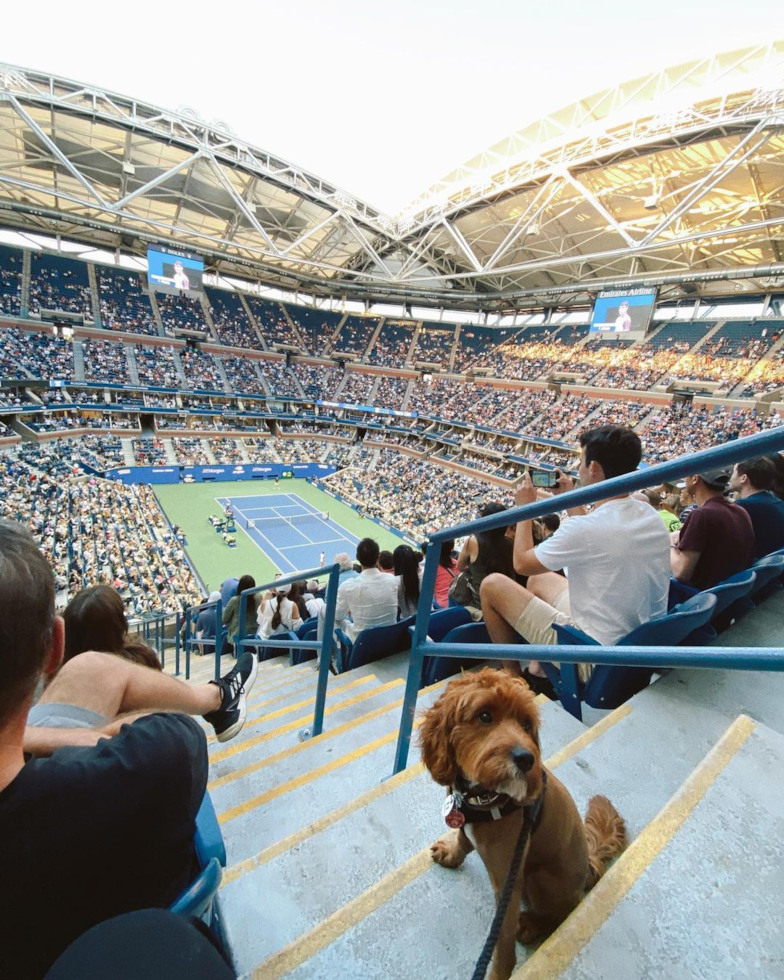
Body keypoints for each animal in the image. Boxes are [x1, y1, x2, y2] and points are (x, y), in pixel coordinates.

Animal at [420, 668, 628, 980]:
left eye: (527, 724)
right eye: (484, 715)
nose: (527, 759)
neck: (483, 796)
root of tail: (589, 867)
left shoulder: (509, 880)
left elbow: (502, 941)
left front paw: (499, 972)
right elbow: (463, 839)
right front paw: (451, 853)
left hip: (539, 877)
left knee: (562, 912)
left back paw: (532, 924)